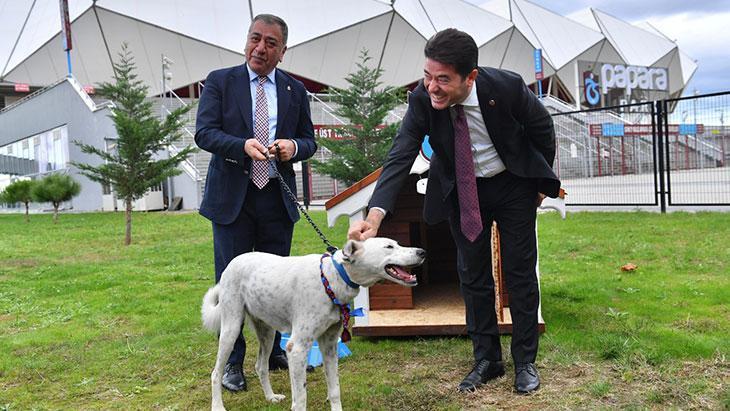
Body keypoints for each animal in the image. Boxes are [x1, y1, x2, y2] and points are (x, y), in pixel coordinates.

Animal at [202, 238, 424, 411]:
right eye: (389, 246)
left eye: (397, 243)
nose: (422, 252)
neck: (332, 278)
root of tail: (235, 260)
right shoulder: (297, 348)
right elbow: (300, 399)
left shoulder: (330, 345)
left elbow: (334, 390)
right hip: (231, 329)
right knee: (215, 373)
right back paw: (218, 406)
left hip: (268, 333)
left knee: (261, 366)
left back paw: (270, 397)